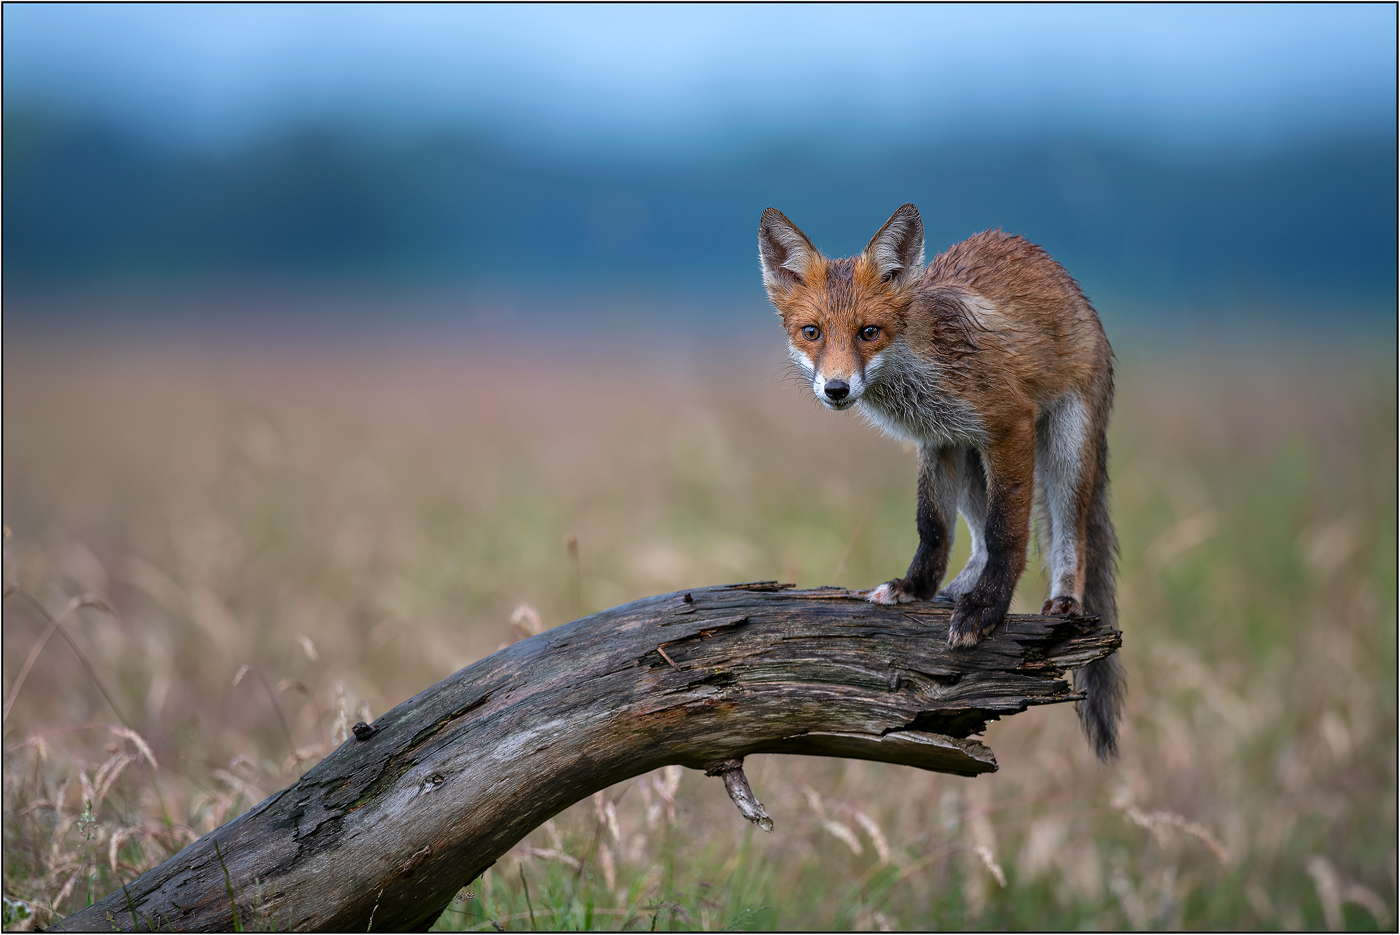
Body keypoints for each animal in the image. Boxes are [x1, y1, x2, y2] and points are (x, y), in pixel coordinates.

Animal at [756, 202, 1125, 761]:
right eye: (811, 332)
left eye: (869, 332)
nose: (836, 389)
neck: (920, 377)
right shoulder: (937, 440)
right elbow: (933, 527)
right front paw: (916, 588)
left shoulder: (1010, 424)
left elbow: (1008, 533)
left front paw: (988, 609)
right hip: (971, 460)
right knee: (974, 539)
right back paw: (955, 591)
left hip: (1063, 447)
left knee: (1070, 532)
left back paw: (1063, 601)